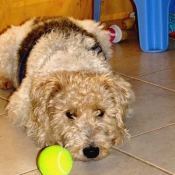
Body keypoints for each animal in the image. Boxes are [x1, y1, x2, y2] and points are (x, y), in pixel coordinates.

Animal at [0, 16, 133, 161]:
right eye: (69, 114)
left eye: (100, 112)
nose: (91, 151)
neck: (74, 66)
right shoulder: (20, 105)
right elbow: (35, 120)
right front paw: (49, 136)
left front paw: (117, 133)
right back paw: (5, 81)